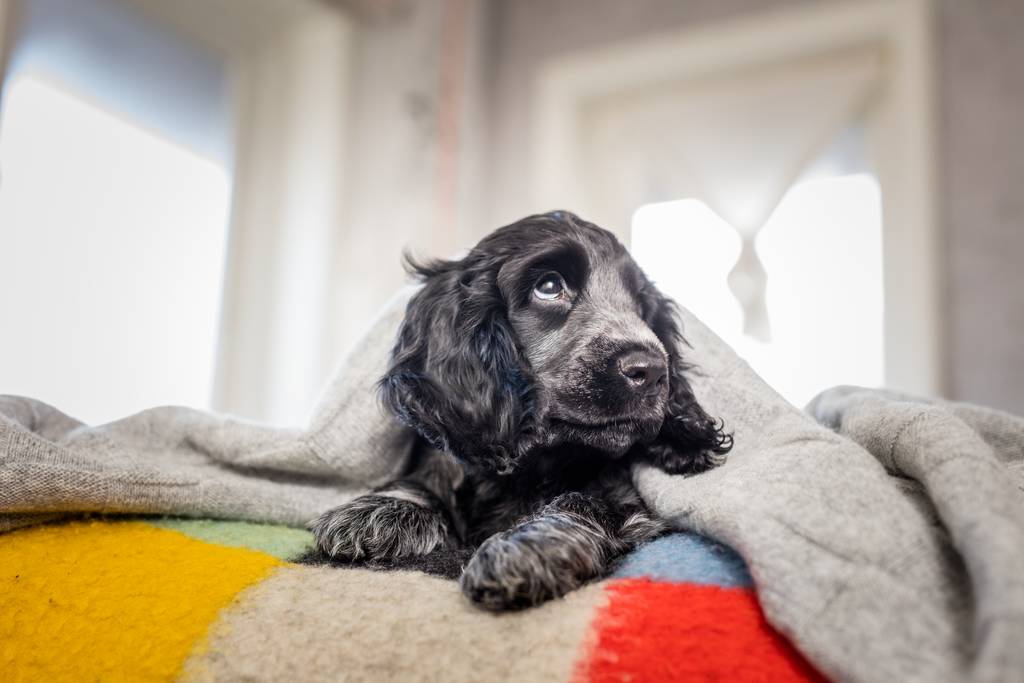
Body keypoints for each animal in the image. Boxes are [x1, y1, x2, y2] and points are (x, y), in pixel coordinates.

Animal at [311, 210, 729, 610]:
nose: (654, 370)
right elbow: (426, 478)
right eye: (549, 287)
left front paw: (522, 546)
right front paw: (381, 510)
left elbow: (582, 500)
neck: (532, 463)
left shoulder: (630, 504)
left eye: (641, 306)